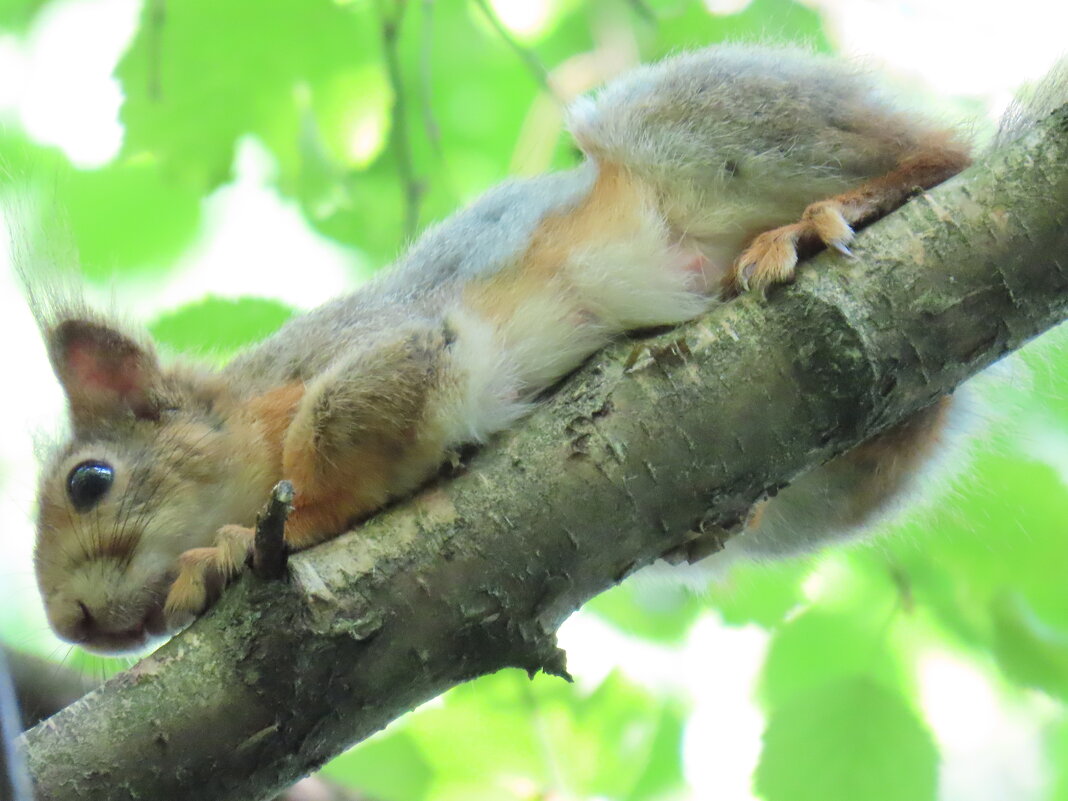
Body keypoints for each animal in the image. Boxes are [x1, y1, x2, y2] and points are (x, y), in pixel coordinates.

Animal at [27, 46, 1059, 653]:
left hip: (708, 130)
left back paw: (822, 219)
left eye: (90, 480)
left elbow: (335, 442)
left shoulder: (394, 347)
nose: (70, 626)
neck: (248, 408)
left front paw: (248, 539)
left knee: (936, 158)